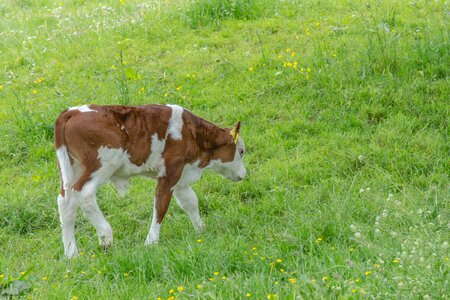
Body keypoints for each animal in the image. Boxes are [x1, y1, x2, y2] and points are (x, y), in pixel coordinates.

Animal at [54, 104, 248, 256]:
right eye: (241, 151)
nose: (243, 174)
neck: (191, 133)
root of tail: (72, 111)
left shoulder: (181, 176)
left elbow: (190, 202)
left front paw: (201, 230)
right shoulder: (169, 173)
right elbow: (161, 206)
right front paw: (151, 242)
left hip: (73, 167)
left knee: (66, 201)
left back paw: (71, 253)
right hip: (103, 164)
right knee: (84, 193)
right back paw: (105, 237)